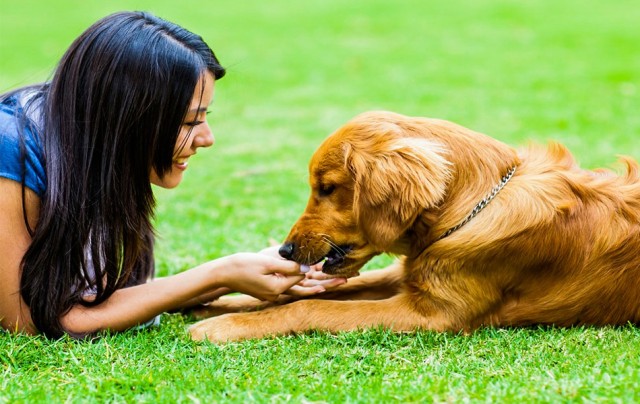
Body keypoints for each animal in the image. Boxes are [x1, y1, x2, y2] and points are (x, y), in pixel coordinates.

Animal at [189, 109, 640, 340]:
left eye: (327, 188)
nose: (284, 252)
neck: (471, 207)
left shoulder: (434, 313)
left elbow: (311, 306)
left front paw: (222, 325)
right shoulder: (411, 274)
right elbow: (319, 293)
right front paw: (221, 303)